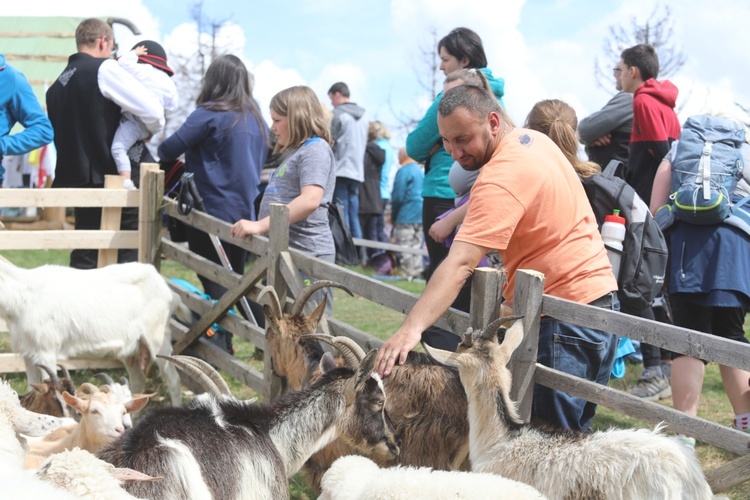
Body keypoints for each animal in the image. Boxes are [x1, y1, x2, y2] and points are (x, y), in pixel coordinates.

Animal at [0, 258, 191, 406]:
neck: (23, 297)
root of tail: (170, 292)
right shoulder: (28, 353)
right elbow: (33, 389)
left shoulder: (45, 351)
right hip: (131, 350)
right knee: (138, 379)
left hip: (158, 336)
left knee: (172, 378)